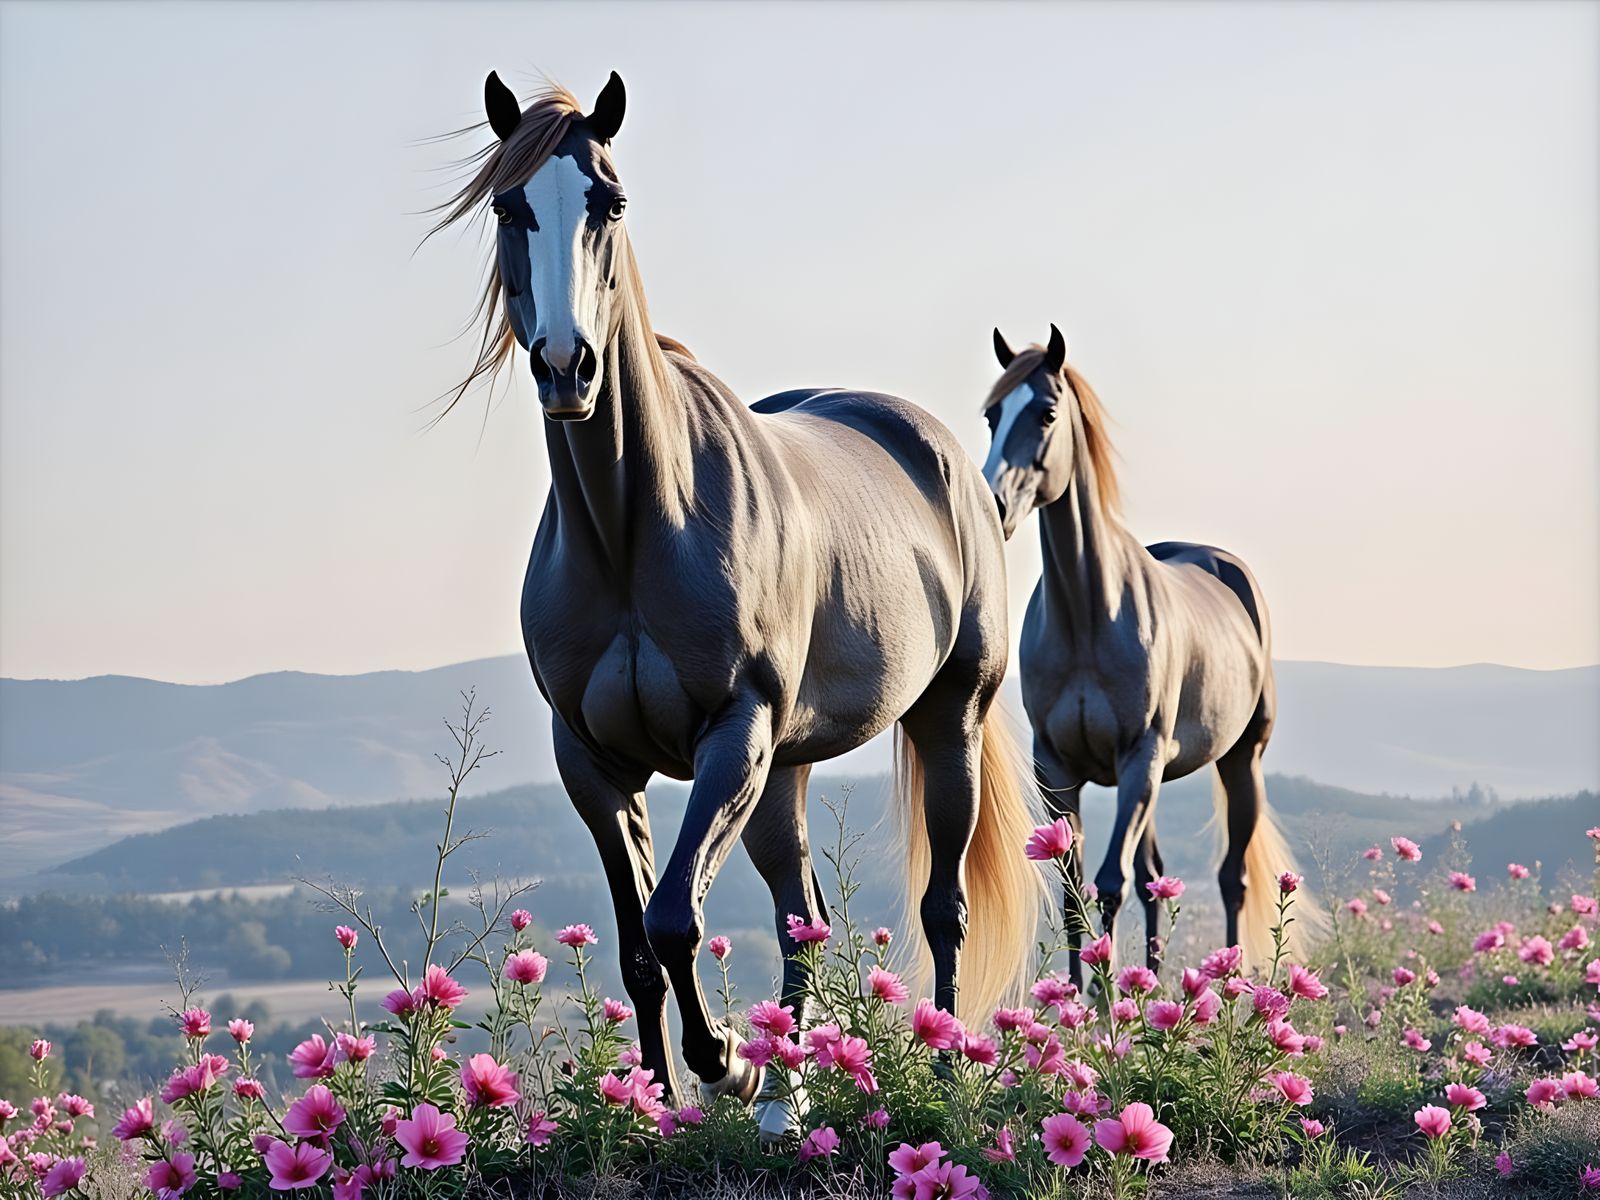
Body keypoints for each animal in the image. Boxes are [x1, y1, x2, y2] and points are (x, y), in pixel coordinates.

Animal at [431, 70, 1042, 1121]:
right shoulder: (594, 762)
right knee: (804, 915)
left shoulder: (733, 732)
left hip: (942, 720)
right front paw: (664, 1097)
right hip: (783, 770)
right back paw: (784, 1098)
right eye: (510, 206)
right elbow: (638, 947)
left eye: (610, 202)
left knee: (944, 908)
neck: (634, 529)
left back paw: (935, 1074)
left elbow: (675, 918)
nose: (566, 366)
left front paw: (727, 1060)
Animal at [980, 325, 1309, 983]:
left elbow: (1110, 884)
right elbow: (1074, 890)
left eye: (1046, 411)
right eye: (991, 416)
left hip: (1239, 762)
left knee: (1231, 879)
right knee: (1156, 877)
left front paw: (1105, 995)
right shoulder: (1057, 767)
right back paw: (1154, 981)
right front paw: (1075, 998)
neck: (1089, 617)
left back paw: (1228, 979)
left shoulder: (1138, 758)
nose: (994, 502)